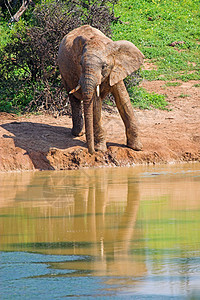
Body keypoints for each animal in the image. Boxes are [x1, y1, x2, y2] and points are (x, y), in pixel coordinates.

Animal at [57, 24, 144, 154]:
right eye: (80, 64)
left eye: (104, 66)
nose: (91, 152)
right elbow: (95, 103)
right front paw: (100, 150)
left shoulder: (116, 68)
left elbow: (123, 99)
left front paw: (137, 148)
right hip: (63, 73)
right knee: (73, 98)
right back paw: (78, 133)